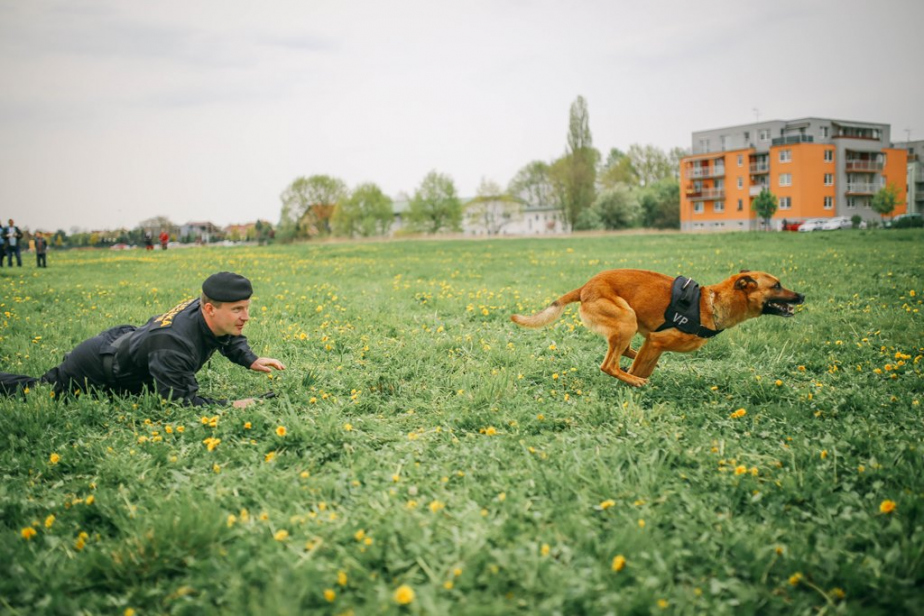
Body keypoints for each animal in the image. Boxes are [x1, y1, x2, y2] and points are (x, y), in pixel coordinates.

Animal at [508, 268, 804, 388]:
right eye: (777, 285)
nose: (802, 296)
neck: (711, 303)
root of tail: (585, 287)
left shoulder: (654, 344)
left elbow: (645, 363)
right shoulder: (656, 341)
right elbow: (641, 369)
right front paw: (633, 383)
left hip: (629, 321)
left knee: (623, 351)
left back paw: (629, 361)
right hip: (626, 318)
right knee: (609, 365)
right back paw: (630, 377)